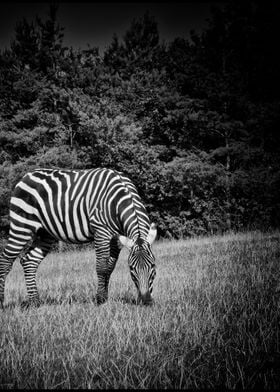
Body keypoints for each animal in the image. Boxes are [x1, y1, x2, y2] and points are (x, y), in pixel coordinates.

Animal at [0, 167, 158, 308]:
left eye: (153, 266)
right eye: (132, 268)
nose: (146, 301)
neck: (118, 199)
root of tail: (26, 176)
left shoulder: (116, 239)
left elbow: (109, 267)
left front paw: (105, 297)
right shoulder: (101, 232)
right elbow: (101, 267)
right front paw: (100, 300)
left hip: (45, 233)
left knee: (29, 261)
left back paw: (35, 303)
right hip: (22, 226)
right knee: (5, 260)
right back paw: (2, 302)